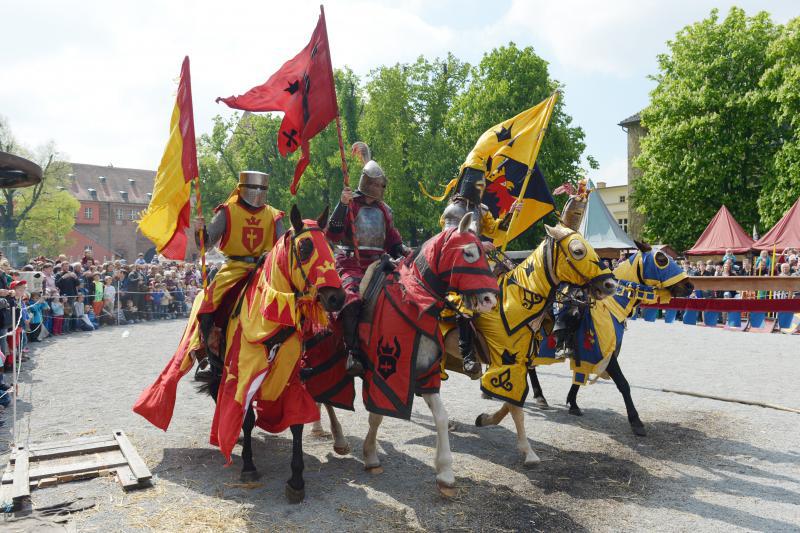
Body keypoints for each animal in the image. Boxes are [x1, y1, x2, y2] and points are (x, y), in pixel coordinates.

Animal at [440, 224, 616, 466]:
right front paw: (528, 452)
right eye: (578, 251)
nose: (611, 284)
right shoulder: (506, 363)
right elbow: (516, 409)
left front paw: (485, 419)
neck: (516, 301)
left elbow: (511, 403)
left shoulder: (519, 363)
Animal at [532, 245, 692, 436]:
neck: (612, 306)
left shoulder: (591, 356)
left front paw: (573, 403)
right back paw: (539, 397)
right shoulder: (606, 356)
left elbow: (579, 379)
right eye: (661, 259)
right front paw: (636, 421)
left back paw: (539, 397)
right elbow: (623, 384)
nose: (689, 286)